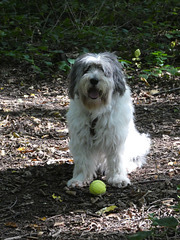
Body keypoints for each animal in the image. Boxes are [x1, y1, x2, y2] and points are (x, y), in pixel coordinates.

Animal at [66, 52, 150, 188]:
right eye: (87, 69)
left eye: (104, 71)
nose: (94, 80)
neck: (96, 109)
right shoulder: (82, 138)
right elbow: (83, 161)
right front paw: (79, 179)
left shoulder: (115, 138)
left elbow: (116, 159)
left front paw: (118, 178)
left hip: (139, 143)